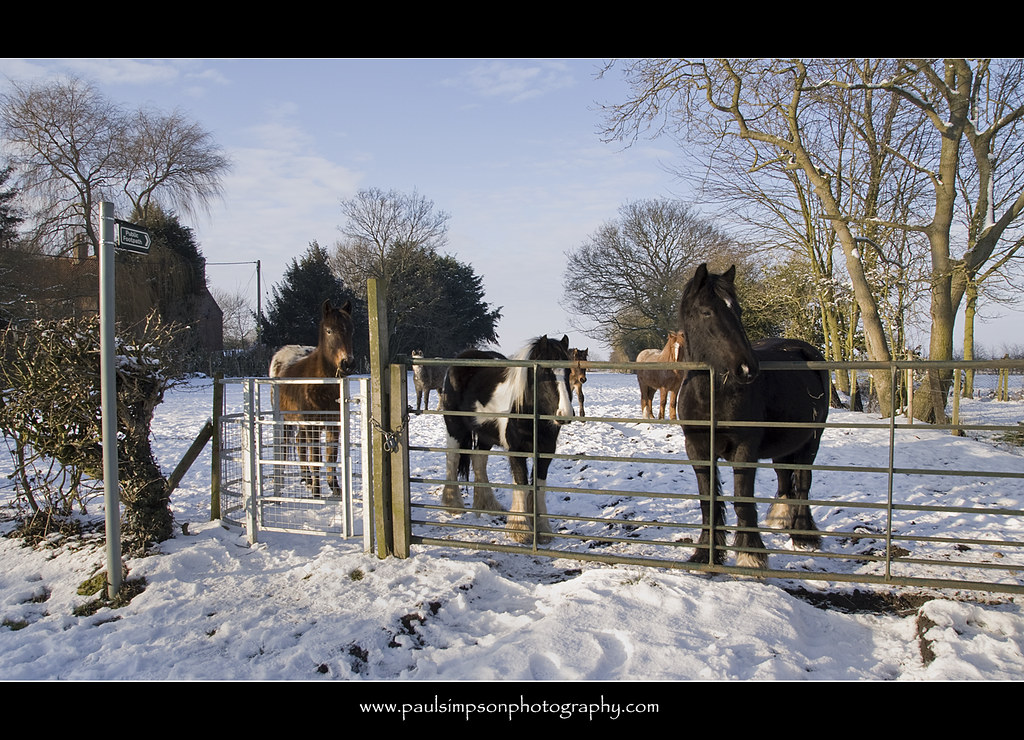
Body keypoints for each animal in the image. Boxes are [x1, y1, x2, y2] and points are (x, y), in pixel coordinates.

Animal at [269, 299, 354, 497]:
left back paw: (306, 478)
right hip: (286, 421)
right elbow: (316, 457)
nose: (347, 362)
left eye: (351, 330)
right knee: (289, 445)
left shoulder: (334, 425)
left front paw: (335, 489)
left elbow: (331, 456)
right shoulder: (313, 426)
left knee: (299, 444)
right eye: (329, 330)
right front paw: (317, 492)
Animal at [440, 335, 575, 544]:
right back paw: (453, 504)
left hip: (485, 435)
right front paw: (520, 530)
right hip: (455, 428)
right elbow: (522, 485)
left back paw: (488, 506)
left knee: (478, 461)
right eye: (545, 371)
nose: (565, 414)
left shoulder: (545, 453)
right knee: (452, 460)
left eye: (568, 371)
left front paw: (542, 529)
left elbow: (539, 487)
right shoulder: (516, 451)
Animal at [676, 264, 829, 568]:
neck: (712, 396)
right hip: (785, 444)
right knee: (785, 478)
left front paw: (751, 555)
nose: (747, 369)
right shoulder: (697, 450)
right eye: (707, 311)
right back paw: (783, 519)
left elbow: (743, 501)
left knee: (803, 482)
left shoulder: (744, 450)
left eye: (738, 310)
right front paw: (705, 553)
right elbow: (708, 501)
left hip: (811, 441)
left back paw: (803, 535)